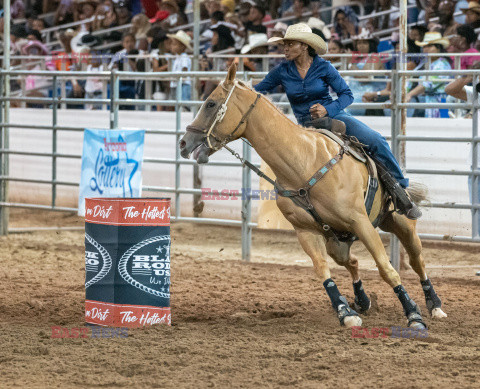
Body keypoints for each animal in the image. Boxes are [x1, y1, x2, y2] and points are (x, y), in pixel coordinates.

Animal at [179, 63, 446, 328]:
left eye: (211, 103)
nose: (183, 143)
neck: (304, 162)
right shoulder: (306, 231)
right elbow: (322, 271)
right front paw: (345, 312)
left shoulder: (360, 221)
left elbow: (386, 268)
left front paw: (413, 315)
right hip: (336, 241)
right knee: (352, 261)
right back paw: (362, 301)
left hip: (400, 223)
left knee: (417, 260)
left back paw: (434, 305)